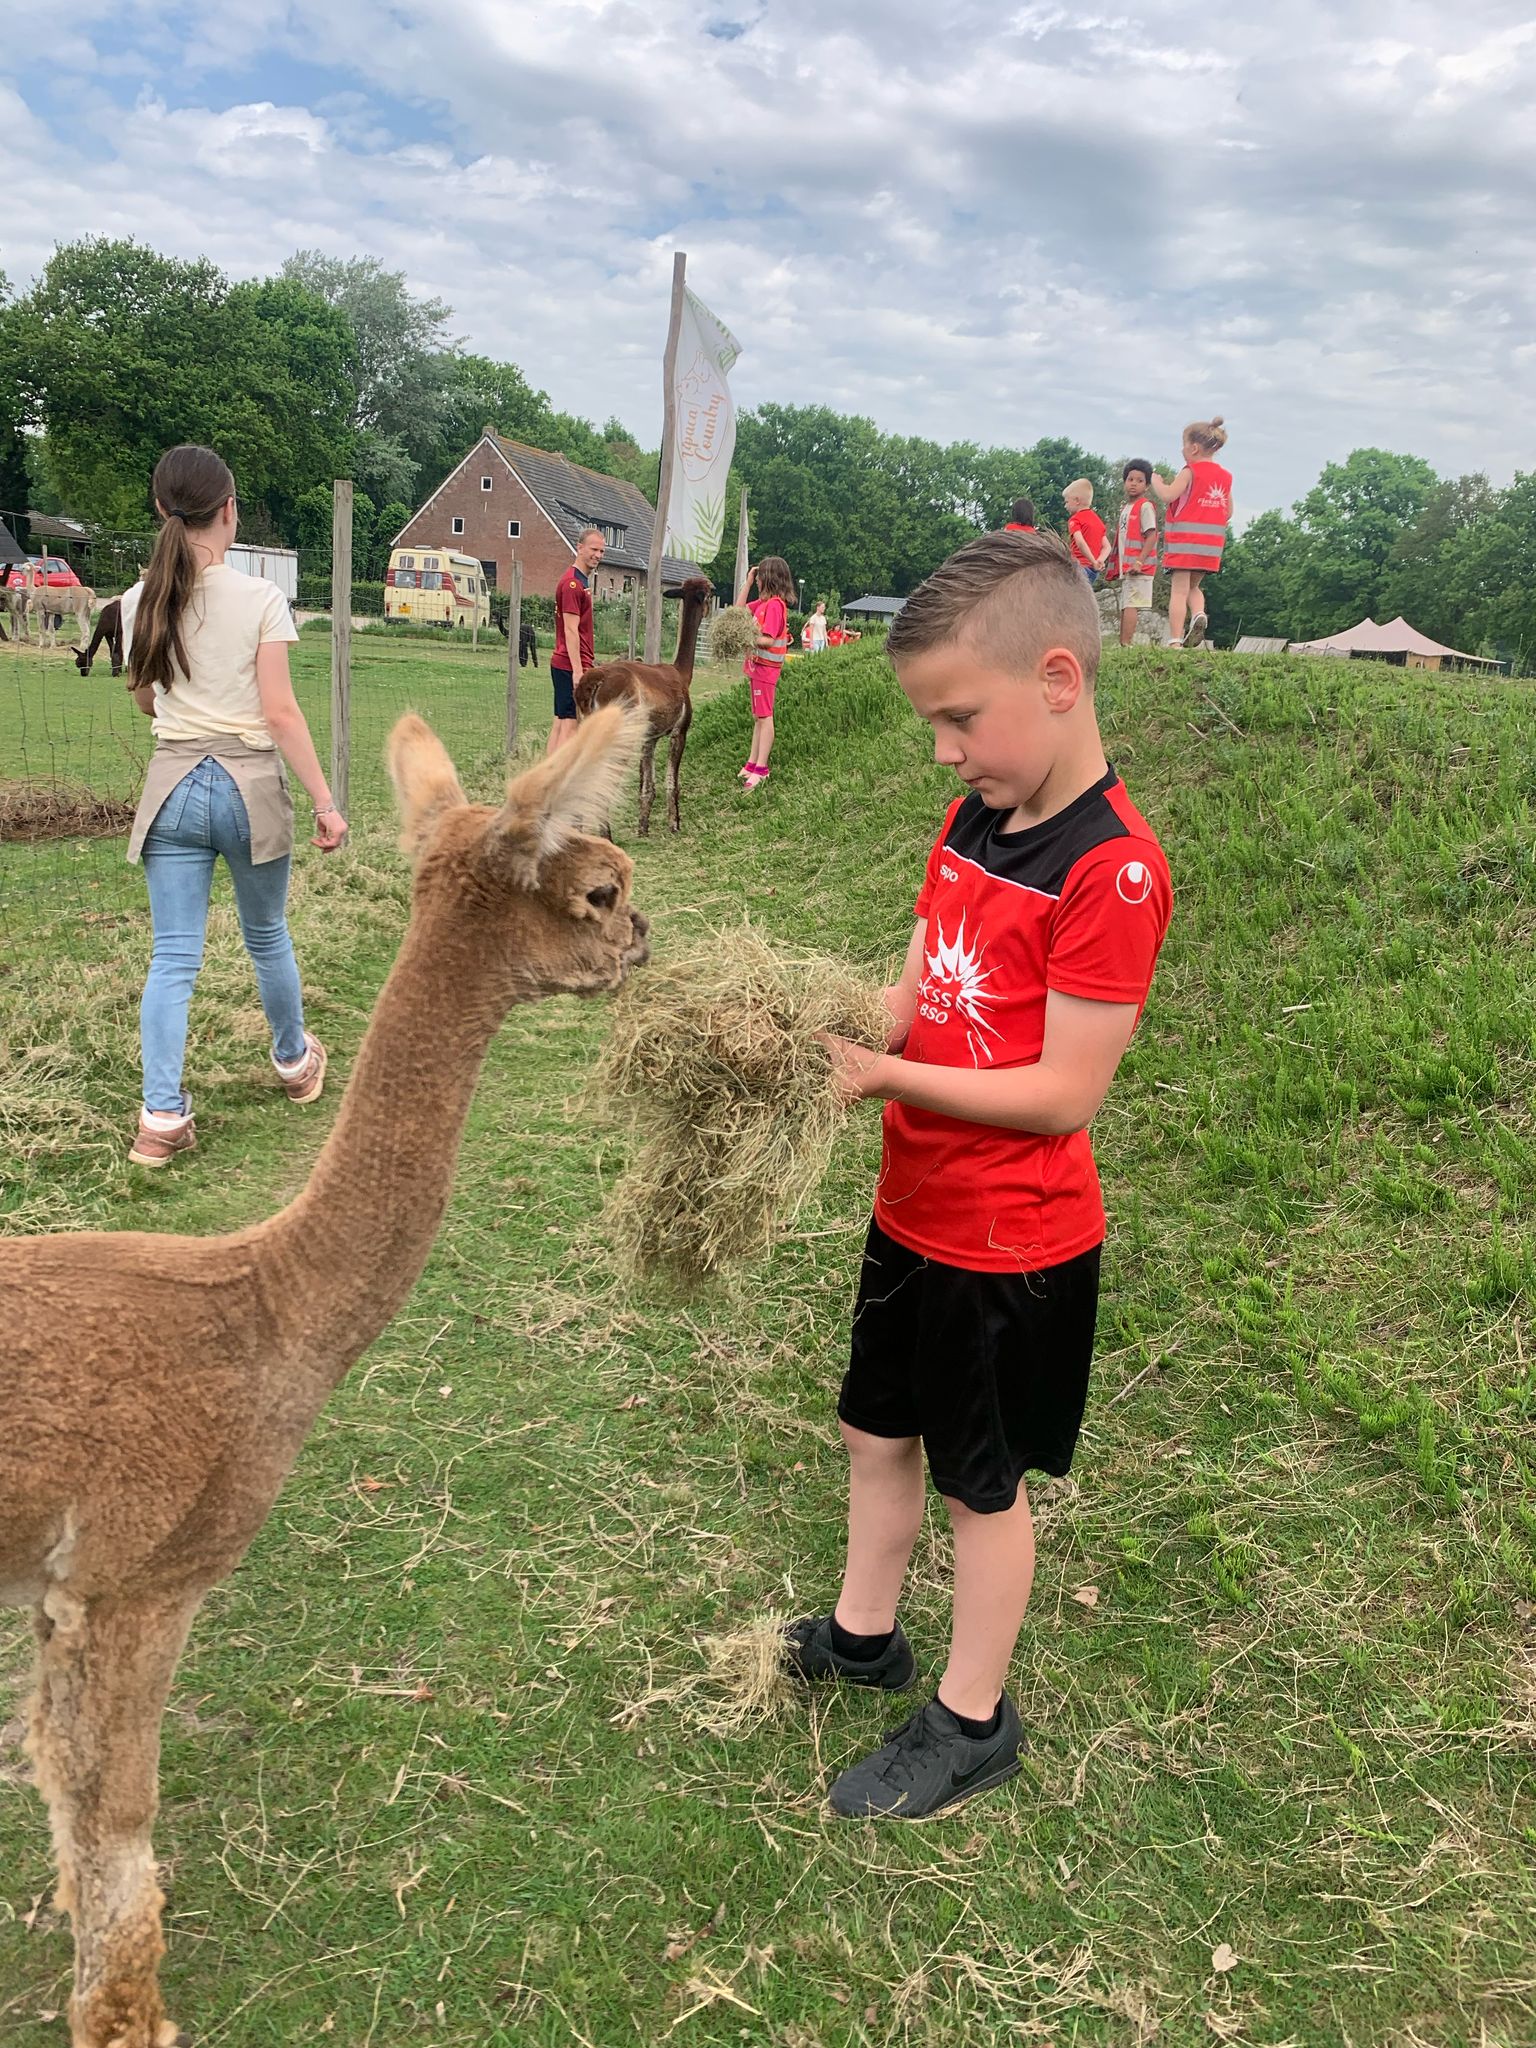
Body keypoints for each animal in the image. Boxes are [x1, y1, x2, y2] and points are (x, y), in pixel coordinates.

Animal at [0, 703, 648, 2048]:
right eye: (602, 890)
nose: (647, 937)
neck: (265, 1313)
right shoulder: (137, 1572)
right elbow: (116, 1815)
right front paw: (127, 2014)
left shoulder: (55, 1585)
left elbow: (63, 1790)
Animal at [574, 575, 713, 835]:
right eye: (711, 592)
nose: (709, 610)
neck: (681, 673)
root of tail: (594, 681)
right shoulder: (679, 731)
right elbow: (672, 782)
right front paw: (674, 824)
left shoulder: (650, 737)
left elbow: (648, 785)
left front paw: (643, 827)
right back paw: (606, 835)